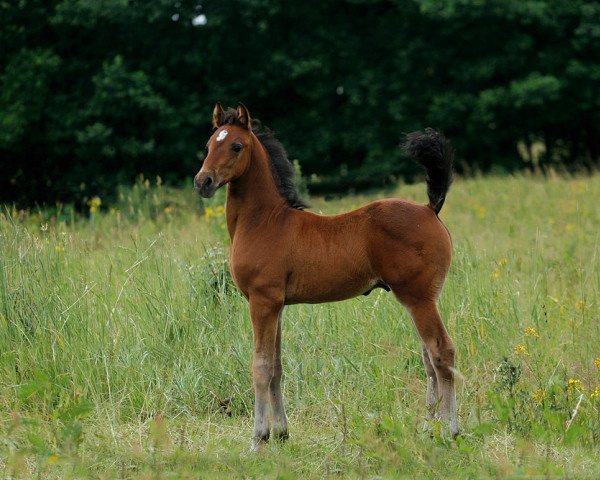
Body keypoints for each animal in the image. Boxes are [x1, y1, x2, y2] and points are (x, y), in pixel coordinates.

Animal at [195, 103, 458, 448]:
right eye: (209, 144)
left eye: (236, 146)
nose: (203, 182)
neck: (265, 222)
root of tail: (430, 209)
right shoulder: (277, 306)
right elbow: (277, 367)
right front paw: (282, 434)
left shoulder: (261, 301)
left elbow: (261, 367)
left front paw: (258, 439)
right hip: (419, 300)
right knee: (429, 360)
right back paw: (429, 428)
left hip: (419, 298)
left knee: (442, 352)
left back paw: (451, 430)